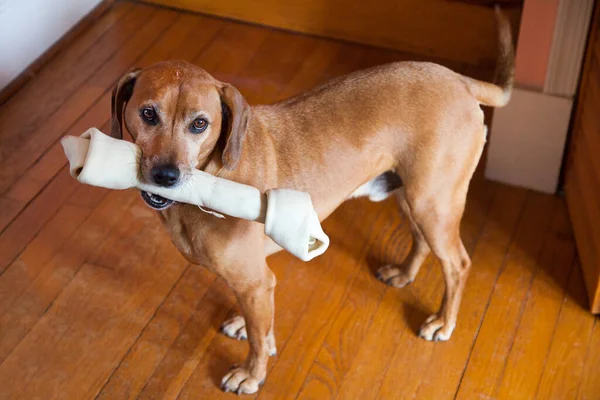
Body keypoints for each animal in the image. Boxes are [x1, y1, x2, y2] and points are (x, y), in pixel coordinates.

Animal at [110, 8, 512, 394]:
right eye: (148, 114)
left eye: (199, 124)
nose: (166, 176)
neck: (215, 173)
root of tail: (460, 81)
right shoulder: (256, 284)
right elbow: (260, 327)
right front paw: (249, 330)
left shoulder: (256, 283)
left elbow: (258, 340)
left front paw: (252, 375)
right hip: (410, 196)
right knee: (422, 242)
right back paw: (404, 273)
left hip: (432, 202)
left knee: (457, 265)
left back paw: (443, 322)